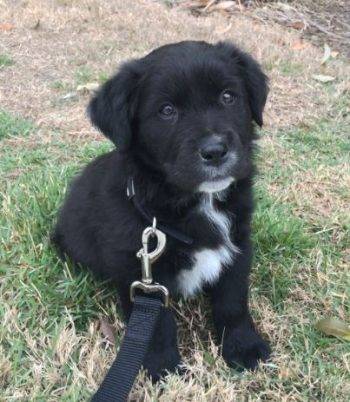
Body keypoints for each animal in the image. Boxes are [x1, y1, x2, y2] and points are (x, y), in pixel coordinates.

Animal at [52, 40, 270, 380]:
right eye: (167, 111)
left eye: (228, 97)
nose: (215, 151)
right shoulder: (139, 270)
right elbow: (156, 325)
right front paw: (164, 368)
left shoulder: (237, 244)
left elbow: (233, 300)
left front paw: (243, 346)